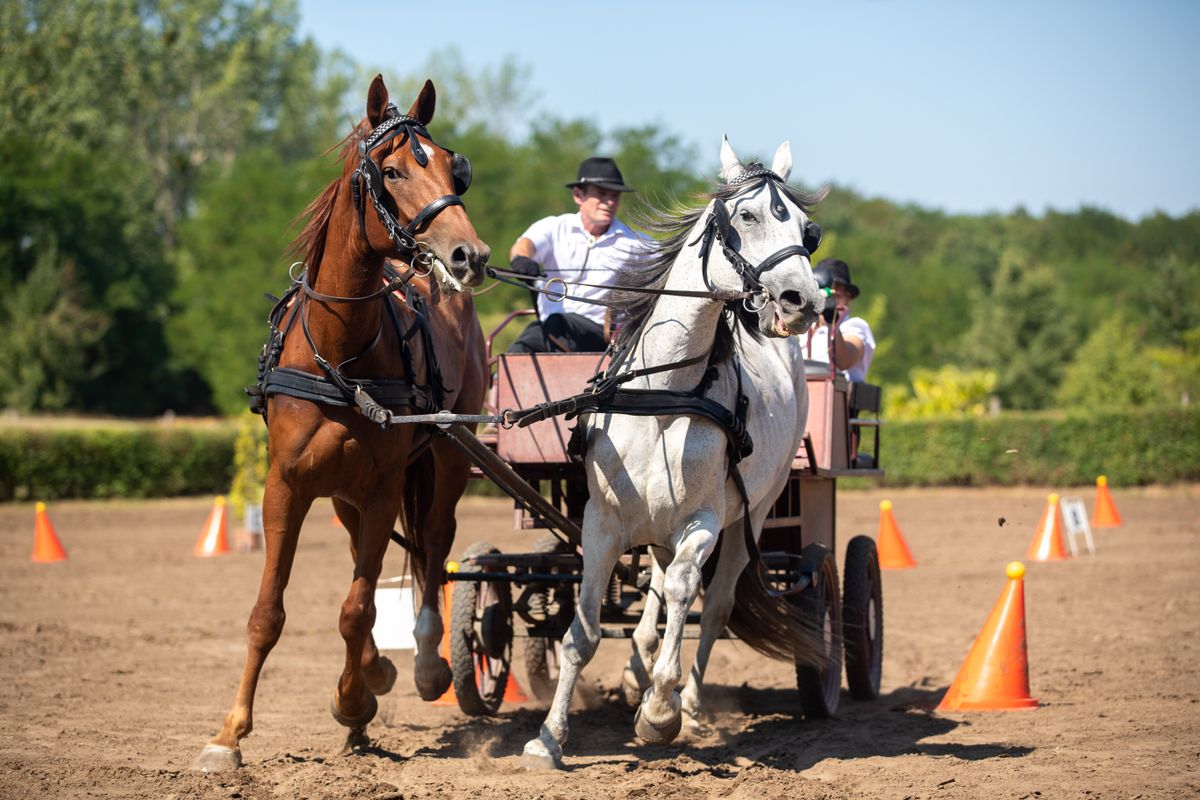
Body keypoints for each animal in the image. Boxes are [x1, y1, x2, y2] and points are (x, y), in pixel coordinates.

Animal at [199, 74, 489, 767]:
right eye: (391, 170)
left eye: (452, 169)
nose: (469, 255)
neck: (340, 353)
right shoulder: (286, 485)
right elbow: (268, 612)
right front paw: (229, 733)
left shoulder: (384, 487)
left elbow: (358, 607)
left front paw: (354, 701)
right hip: (341, 491)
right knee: (369, 549)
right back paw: (375, 671)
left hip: (450, 455)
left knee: (433, 543)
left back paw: (423, 666)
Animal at [525, 137, 835, 767]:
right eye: (747, 216)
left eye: (808, 231)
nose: (801, 302)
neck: (663, 393)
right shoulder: (601, 522)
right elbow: (582, 633)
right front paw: (548, 738)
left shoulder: (703, 521)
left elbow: (685, 596)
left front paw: (660, 712)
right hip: (656, 524)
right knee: (656, 588)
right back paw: (635, 670)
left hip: (751, 518)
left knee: (708, 605)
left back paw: (684, 704)